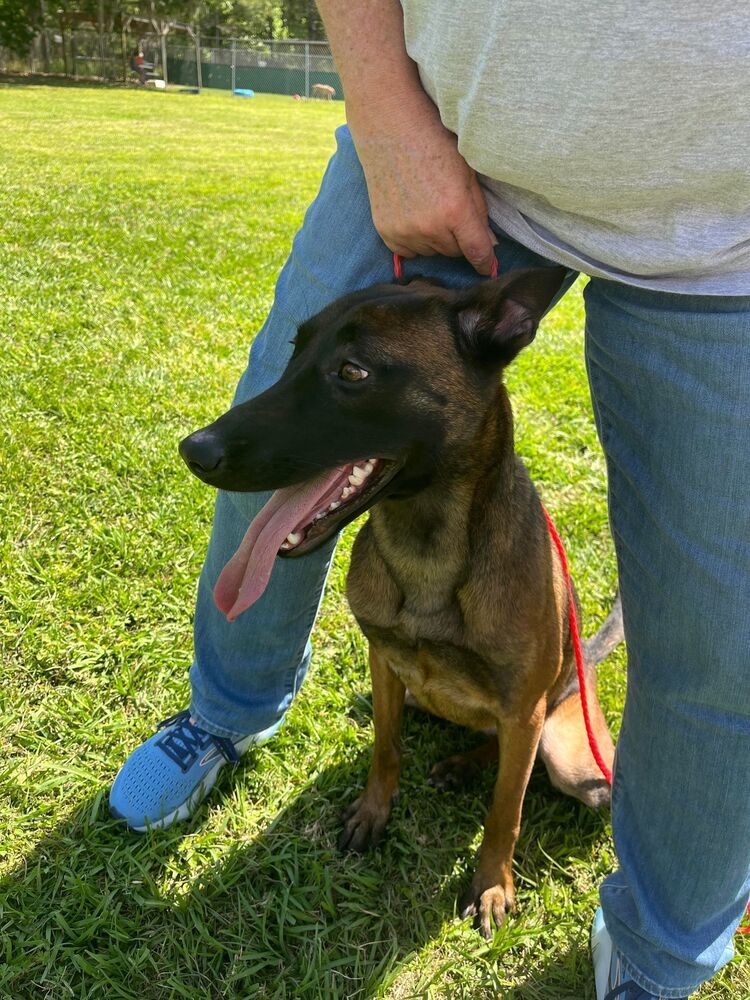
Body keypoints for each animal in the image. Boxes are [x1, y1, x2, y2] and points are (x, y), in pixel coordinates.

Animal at [181, 266, 624, 936]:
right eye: (294, 352)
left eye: (353, 371)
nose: (195, 450)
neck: (427, 552)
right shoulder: (386, 664)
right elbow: (385, 748)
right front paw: (372, 811)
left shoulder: (523, 710)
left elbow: (506, 810)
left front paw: (492, 884)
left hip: (571, 756)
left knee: (518, 763)